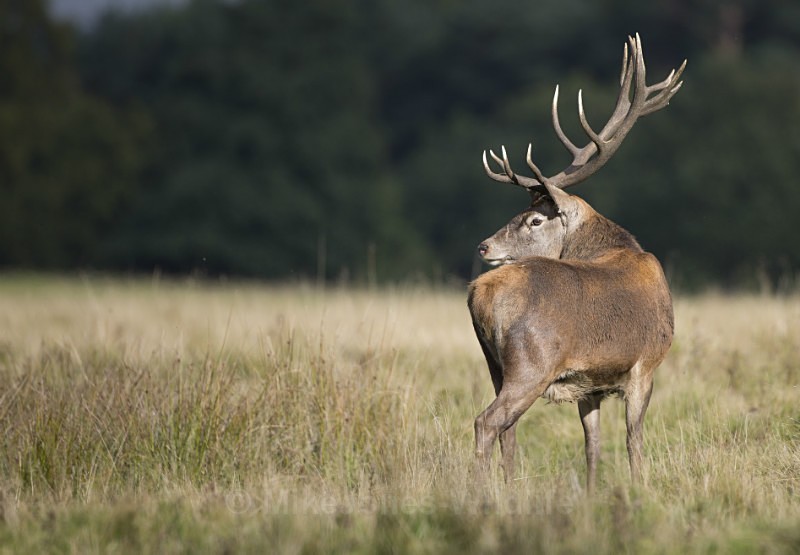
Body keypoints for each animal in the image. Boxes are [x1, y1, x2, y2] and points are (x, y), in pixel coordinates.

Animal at [468, 34, 685, 492]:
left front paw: (591, 493)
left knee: (508, 430)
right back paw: (480, 493)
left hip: (495, 364)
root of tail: (479, 293)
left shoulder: (589, 387)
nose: (483, 247)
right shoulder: (646, 364)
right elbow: (634, 442)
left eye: (533, 218)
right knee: (487, 423)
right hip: (531, 364)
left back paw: (509, 491)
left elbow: (593, 447)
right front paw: (640, 490)